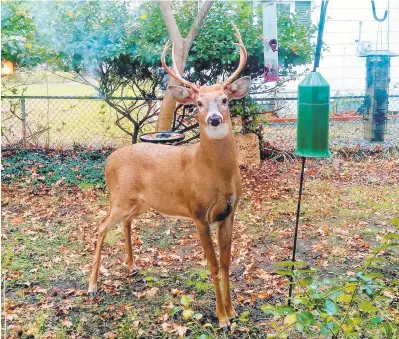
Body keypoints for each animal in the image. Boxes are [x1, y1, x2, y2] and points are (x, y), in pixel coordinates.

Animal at [88, 26, 252, 330]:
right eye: (198, 103)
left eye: (224, 100)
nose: (213, 119)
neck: (213, 174)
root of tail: (108, 161)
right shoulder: (198, 212)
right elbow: (212, 264)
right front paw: (222, 318)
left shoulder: (229, 212)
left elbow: (227, 262)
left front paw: (233, 311)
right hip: (119, 196)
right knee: (101, 225)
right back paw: (92, 286)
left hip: (140, 202)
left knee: (125, 222)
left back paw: (132, 266)